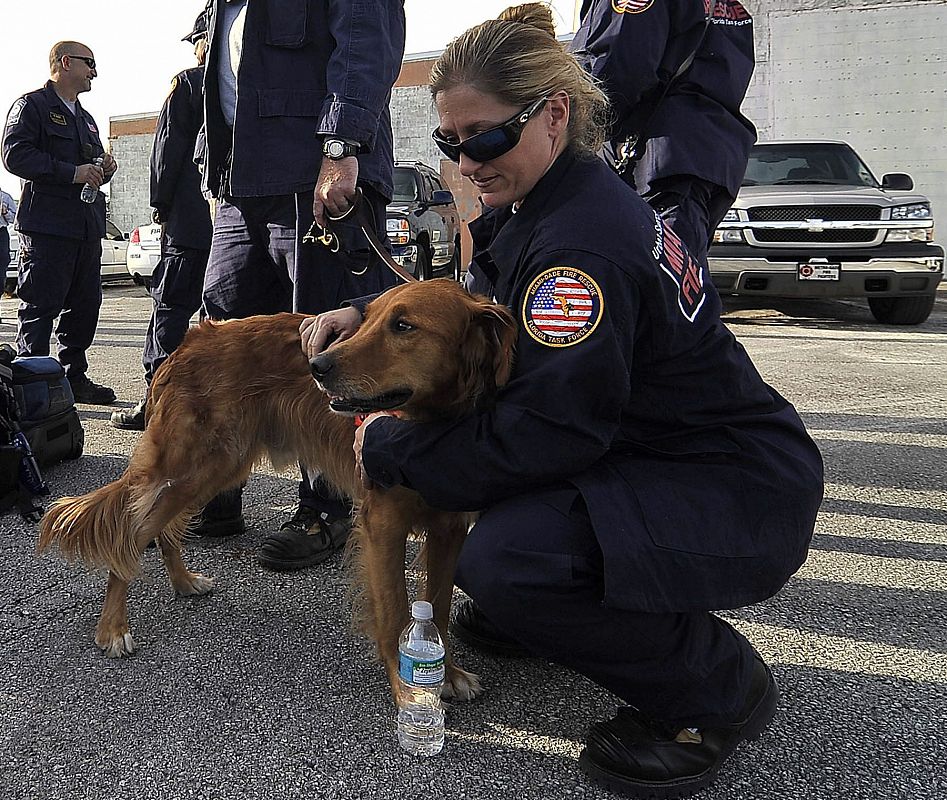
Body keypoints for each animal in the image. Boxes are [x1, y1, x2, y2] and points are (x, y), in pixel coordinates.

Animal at [39, 278, 520, 704]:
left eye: (403, 325)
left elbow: (437, 603)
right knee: (131, 536)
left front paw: (447, 673)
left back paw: (182, 581)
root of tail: (188, 343)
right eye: (368, 319)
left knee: (164, 529)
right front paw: (409, 692)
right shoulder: (384, 524)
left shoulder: (450, 530)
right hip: (193, 466)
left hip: (215, 469)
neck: (428, 426)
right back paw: (113, 628)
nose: (317, 366)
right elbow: (396, 610)